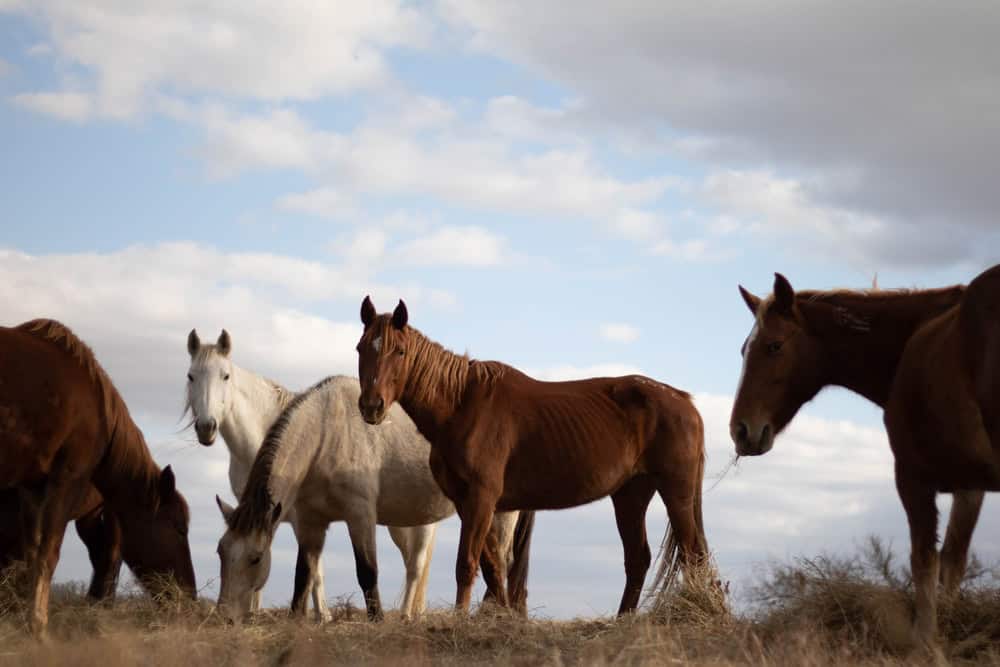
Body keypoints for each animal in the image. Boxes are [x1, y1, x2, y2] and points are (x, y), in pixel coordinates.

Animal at [0, 319, 196, 636]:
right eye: (179, 528)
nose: (189, 595)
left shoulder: (31, 490)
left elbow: (31, 556)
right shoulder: (66, 479)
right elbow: (46, 555)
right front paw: (38, 628)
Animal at [214, 375, 533, 622]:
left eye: (255, 558)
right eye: (221, 551)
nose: (225, 616)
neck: (326, 432)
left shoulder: (360, 515)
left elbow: (367, 571)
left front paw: (376, 619)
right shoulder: (309, 524)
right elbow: (303, 574)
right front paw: (296, 620)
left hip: (500, 514)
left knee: (501, 562)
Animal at [355, 297, 709, 614]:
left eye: (399, 351)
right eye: (360, 348)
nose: (371, 406)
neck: (462, 405)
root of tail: (684, 401)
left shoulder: (481, 498)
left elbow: (467, 564)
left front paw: (460, 620)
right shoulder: (471, 503)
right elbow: (492, 568)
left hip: (676, 492)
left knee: (692, 553)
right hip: (630, 495)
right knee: (638, 559)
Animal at [729, 269, 999, 647]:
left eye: (774, 346)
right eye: (744, 350)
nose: (740, 431)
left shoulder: (913, 479)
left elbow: (924, 563)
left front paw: (925, 644)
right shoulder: (969, 487)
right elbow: (952, 563)